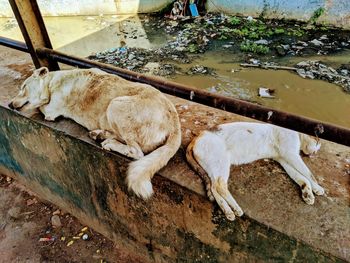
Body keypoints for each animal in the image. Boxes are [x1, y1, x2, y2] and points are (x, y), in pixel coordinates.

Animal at [9, 66, 182, 200]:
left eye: (23, 87)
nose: (10, 104)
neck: (51, 83)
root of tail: (174, 123)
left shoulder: (49, 110)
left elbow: (40, 105)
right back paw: (99, 134)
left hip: (115, 105)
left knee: (137, 152)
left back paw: (108, 143)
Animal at [187, 122, 324, 222]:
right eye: (318, 143)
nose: (316, 152)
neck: (297, 134)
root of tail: (196, 137)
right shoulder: (291, 154)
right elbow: (308, 173)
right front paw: (318, 188)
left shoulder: (283, 158)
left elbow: (301, 178)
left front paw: (308, 193)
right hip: (221, 162)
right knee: (220, 186)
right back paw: (236, 209)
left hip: (214, 168)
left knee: (214, 187)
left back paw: (228, 211)